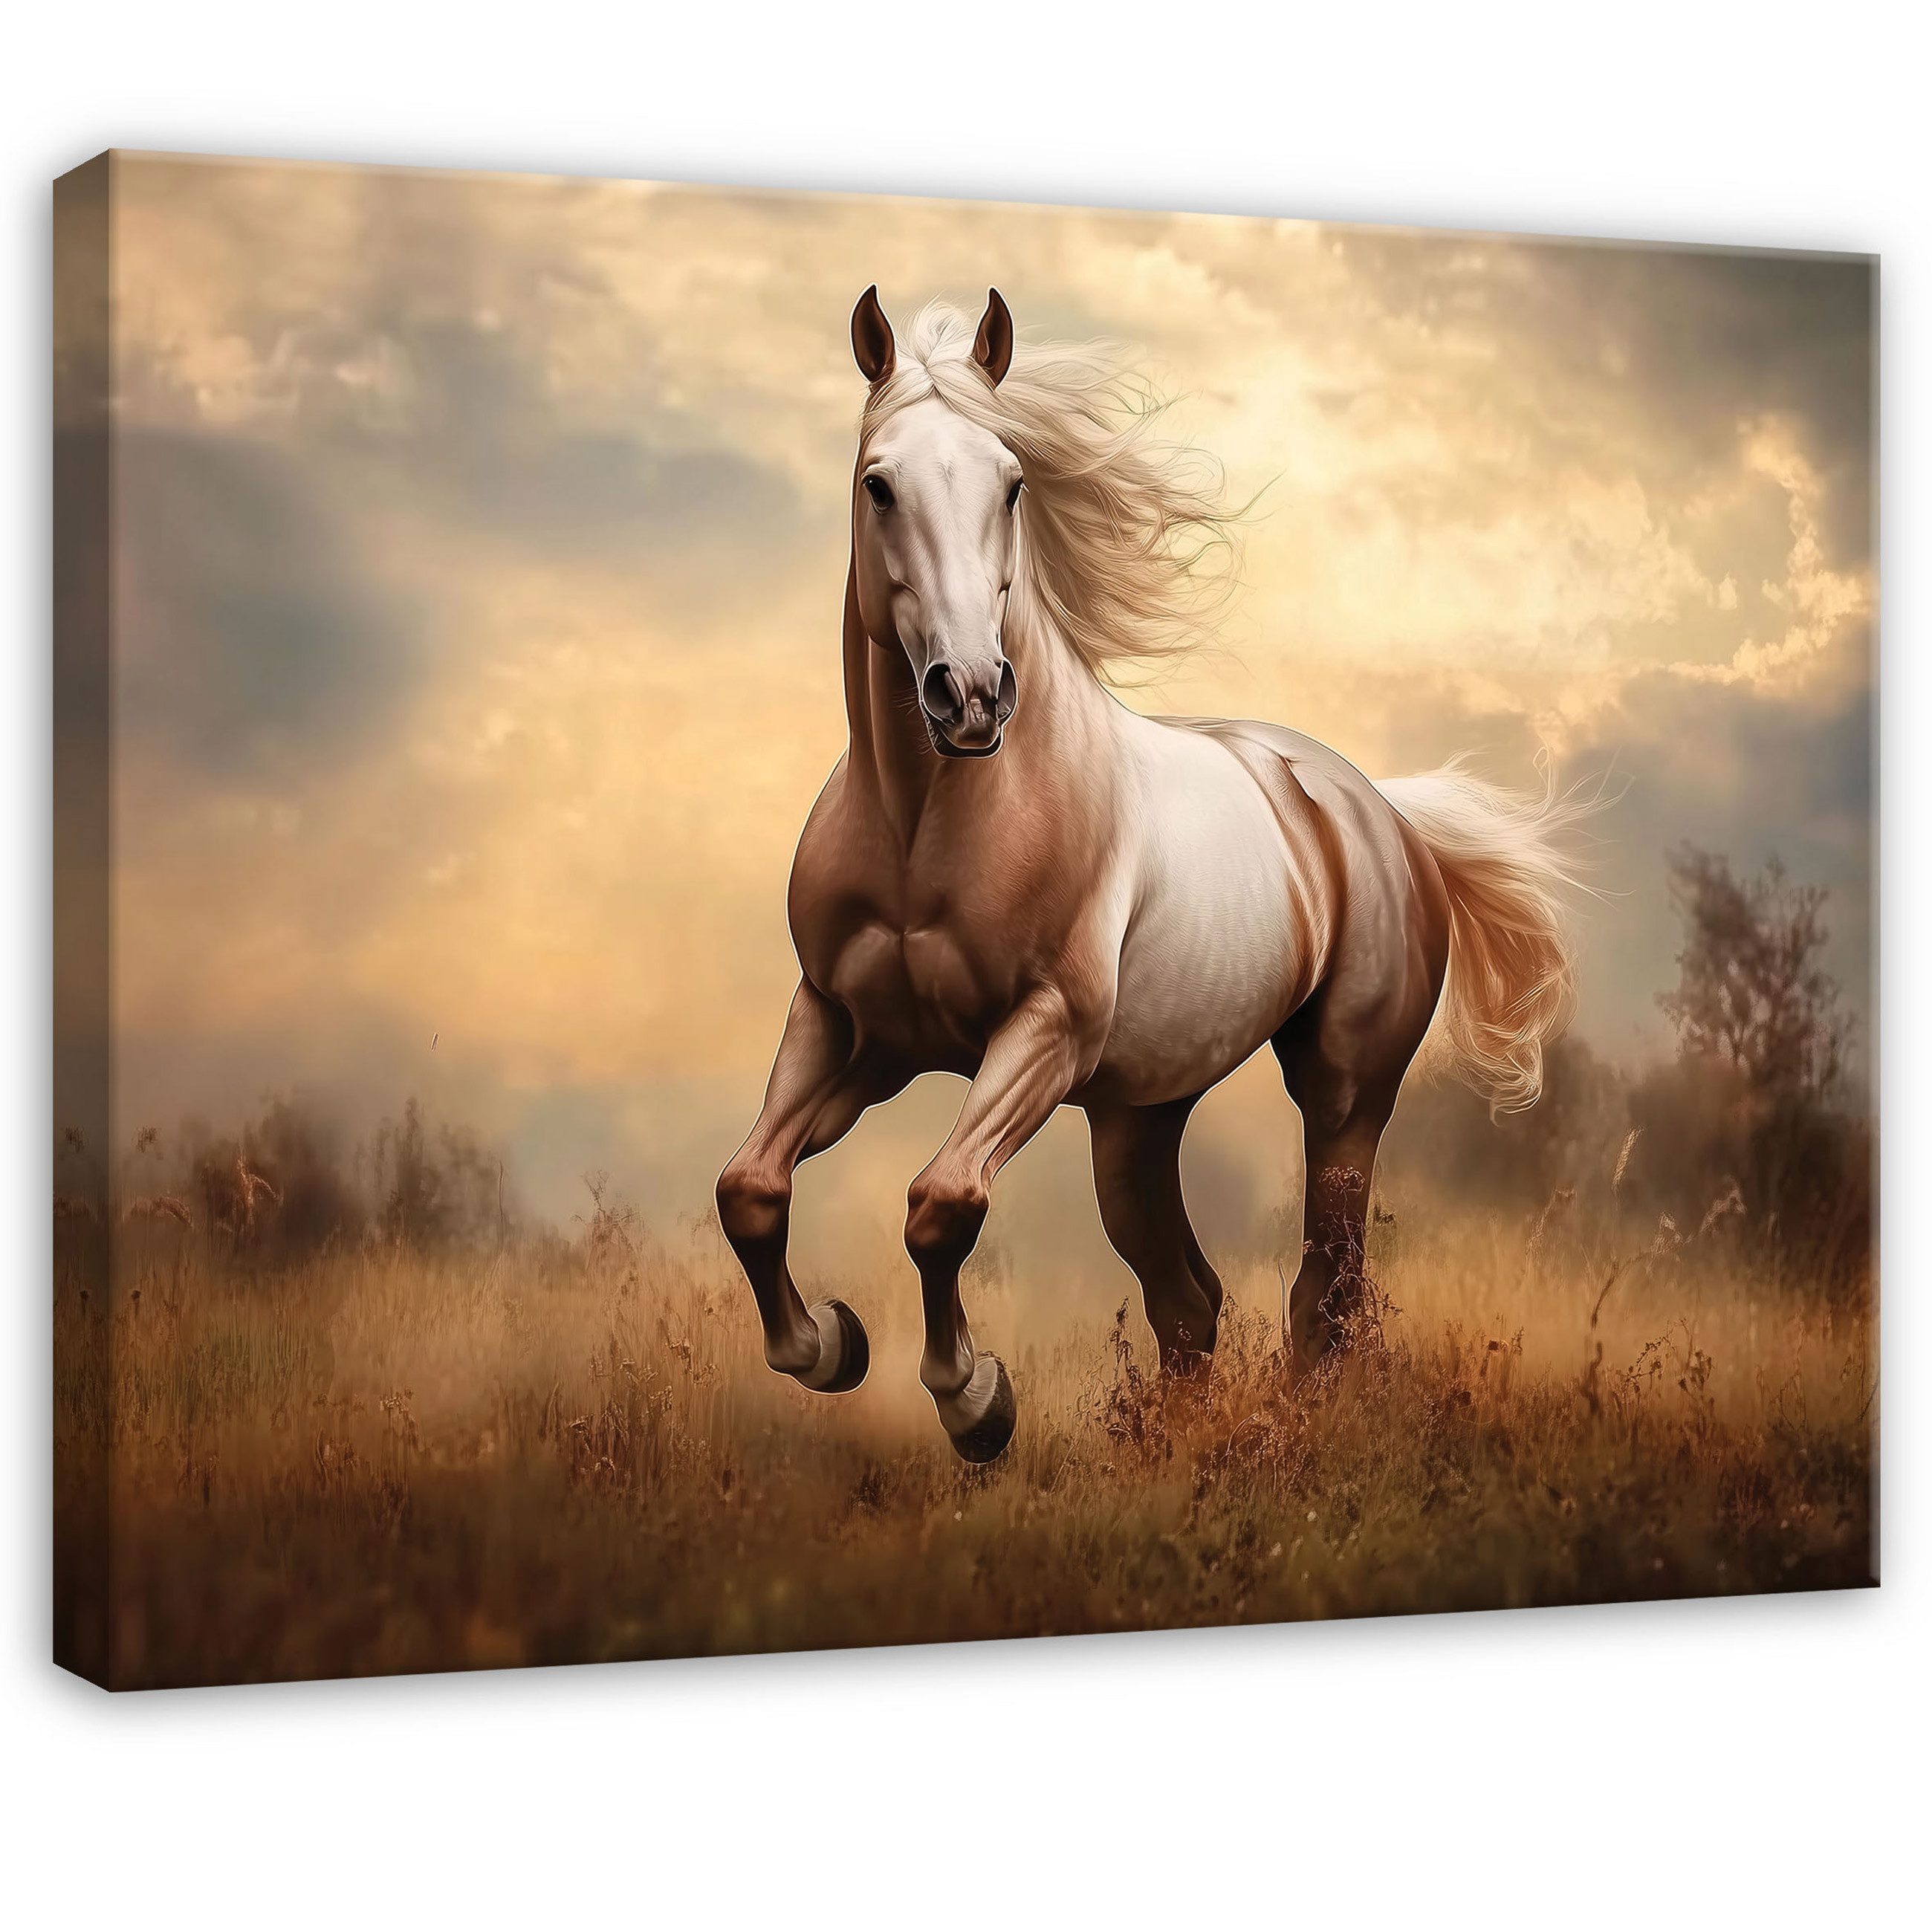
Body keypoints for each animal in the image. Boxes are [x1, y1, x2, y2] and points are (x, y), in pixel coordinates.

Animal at [716, 286, 1594, 1463]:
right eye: (878, 483)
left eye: (1012, 482)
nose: (971, 696)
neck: (925, 825)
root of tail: (1380, 810)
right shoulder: (851, 1027)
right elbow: (752, 1188)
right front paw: (831, 1345)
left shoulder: (1043, 1032)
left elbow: (942, 1204)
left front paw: (975, 1400)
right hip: (1137, 1120)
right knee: (1189, 1300)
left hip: (1342, 1093)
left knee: (1325, 1289)